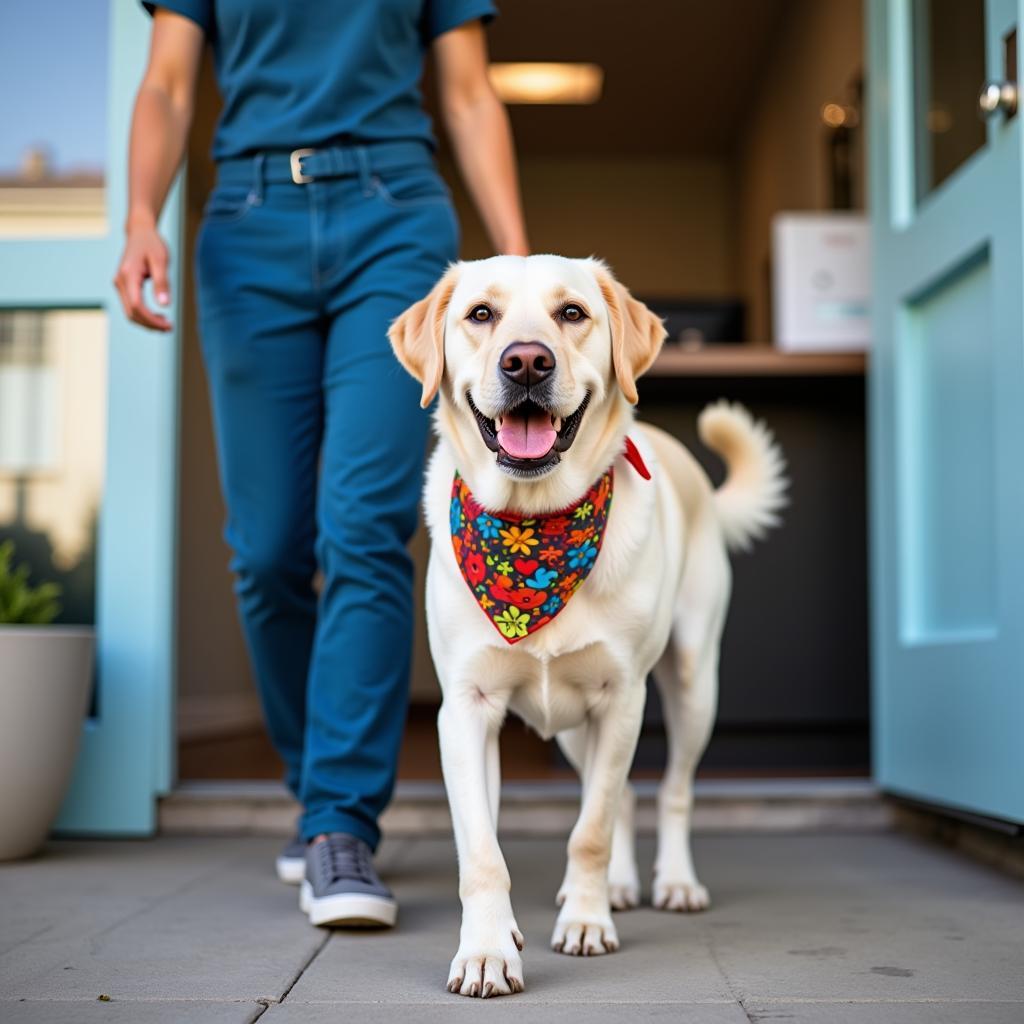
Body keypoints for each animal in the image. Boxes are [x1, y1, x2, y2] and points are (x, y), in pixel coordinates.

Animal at [387, 251, 786, 995]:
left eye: (571, 313)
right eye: (480, 314)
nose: (526, 362)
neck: (533, 525)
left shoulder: (622, 698)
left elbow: (590, 830)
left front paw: (585, 922)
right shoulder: (466, 710)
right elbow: (483, 850)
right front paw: (488, 950)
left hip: (692, 686)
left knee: (672, 791)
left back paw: (669, 883)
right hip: (571, 730)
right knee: (625, 794)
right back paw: (617, 887)